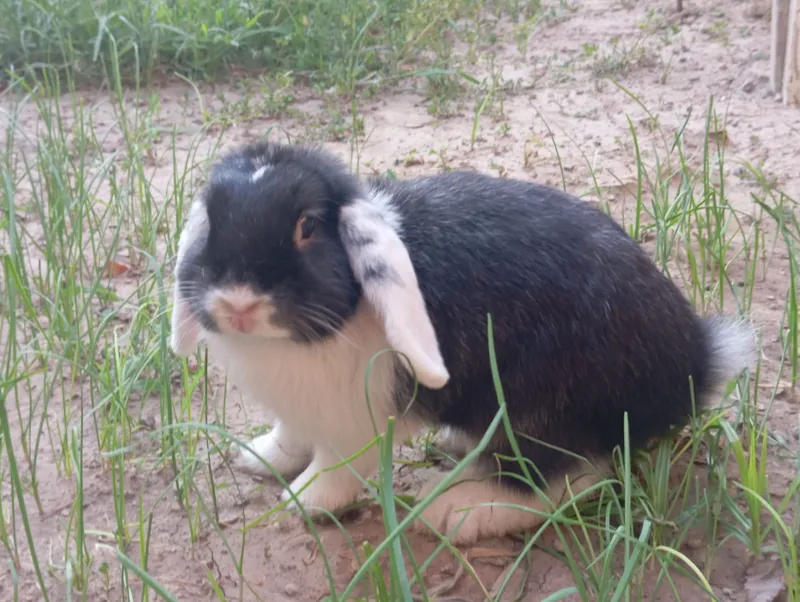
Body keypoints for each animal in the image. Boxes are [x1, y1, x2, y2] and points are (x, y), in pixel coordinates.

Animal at [169, 141, 754, 545]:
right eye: (211, 222)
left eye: (307, 226)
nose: (238, 303)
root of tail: (693, 365)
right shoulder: (297, 413)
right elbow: (289, 438)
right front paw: (259, 457)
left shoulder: (353, 424)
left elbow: (336, 468)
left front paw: (303, 502)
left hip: (540, 411)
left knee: (568, 477)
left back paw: (456, 509)